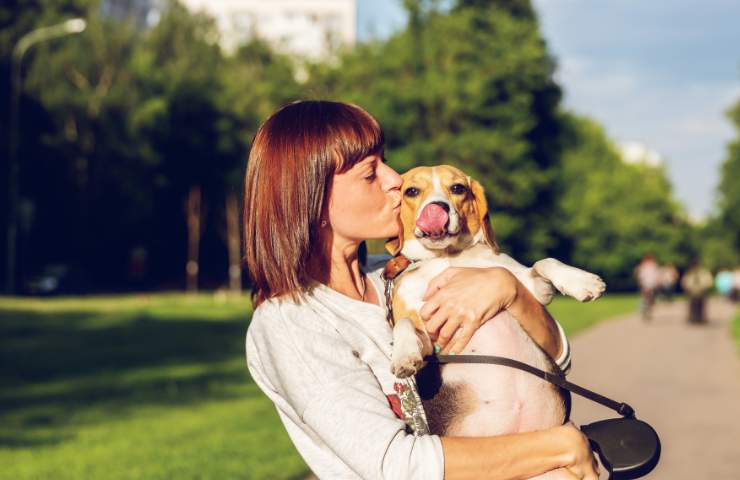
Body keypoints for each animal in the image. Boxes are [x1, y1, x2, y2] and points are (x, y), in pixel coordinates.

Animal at [384, 166, 604, 446]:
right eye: (411, 191)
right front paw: (404, 355)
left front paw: (582, 281)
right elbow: (403, 323)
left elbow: (545, 261)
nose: (437, 208)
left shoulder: (532, 288)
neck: (447, 257)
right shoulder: (426, 336)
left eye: (458, 188)